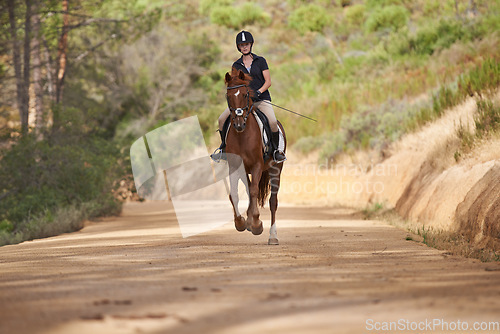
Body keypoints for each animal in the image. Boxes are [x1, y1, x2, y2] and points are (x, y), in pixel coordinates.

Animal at [225, 68, 288, 245]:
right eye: (228, 96)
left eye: (245, 94)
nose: (239, 124)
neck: (242, 136)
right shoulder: (234, 167)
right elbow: (234, 193)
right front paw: (241, 222)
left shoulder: (257, 165)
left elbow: (253, 192)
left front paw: (256, 223)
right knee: (248, 189)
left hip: (275, 169)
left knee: (273, 201)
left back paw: (272, 236)